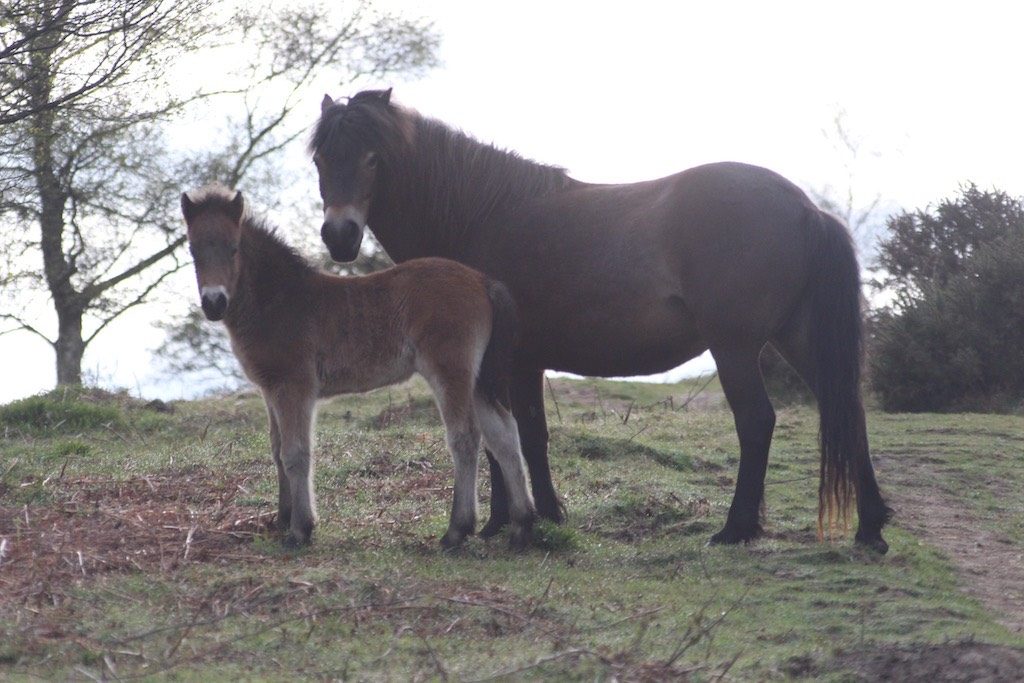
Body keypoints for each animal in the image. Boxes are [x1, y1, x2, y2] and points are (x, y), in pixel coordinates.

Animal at [181, 185, 536, 548]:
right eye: (193, 250)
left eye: (234, 248)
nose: (214, 303)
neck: (280, 300)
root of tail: (482, 280)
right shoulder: (270, 389)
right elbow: (277, 451)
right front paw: (282, 519)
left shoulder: (295, 386)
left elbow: (296, 453)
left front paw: (300, 529)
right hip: (477, 379)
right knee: (504, 436)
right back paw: (521, 526)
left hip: (450, 370)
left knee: (465, 437)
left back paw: (456, 531)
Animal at [307, 88, 892, 552]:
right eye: (320, 160)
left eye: (373, 158)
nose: (339, 235)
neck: (479, 214)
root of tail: (807, 209)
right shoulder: (510, 363)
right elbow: (517, 435)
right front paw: (520, 518)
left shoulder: (505, 362)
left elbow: (515, 437)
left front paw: (522, 519)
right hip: (798, 338)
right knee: (845, 410)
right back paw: (870, 528)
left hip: (735, 346)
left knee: (757, 422)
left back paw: (735, 529)